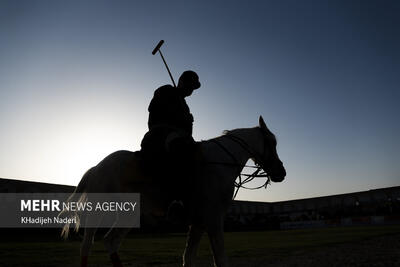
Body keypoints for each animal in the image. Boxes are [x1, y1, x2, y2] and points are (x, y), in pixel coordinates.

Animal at [61, 116, 286, 267]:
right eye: (273, 142)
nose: (281, 172)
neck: (220, 162)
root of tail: (96, 168)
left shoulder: (199, 222)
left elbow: (189, 257)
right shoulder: (213, 219)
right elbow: (220, 259)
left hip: (128, 215)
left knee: (109, 242)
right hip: (99, 212)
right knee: (89, 245)